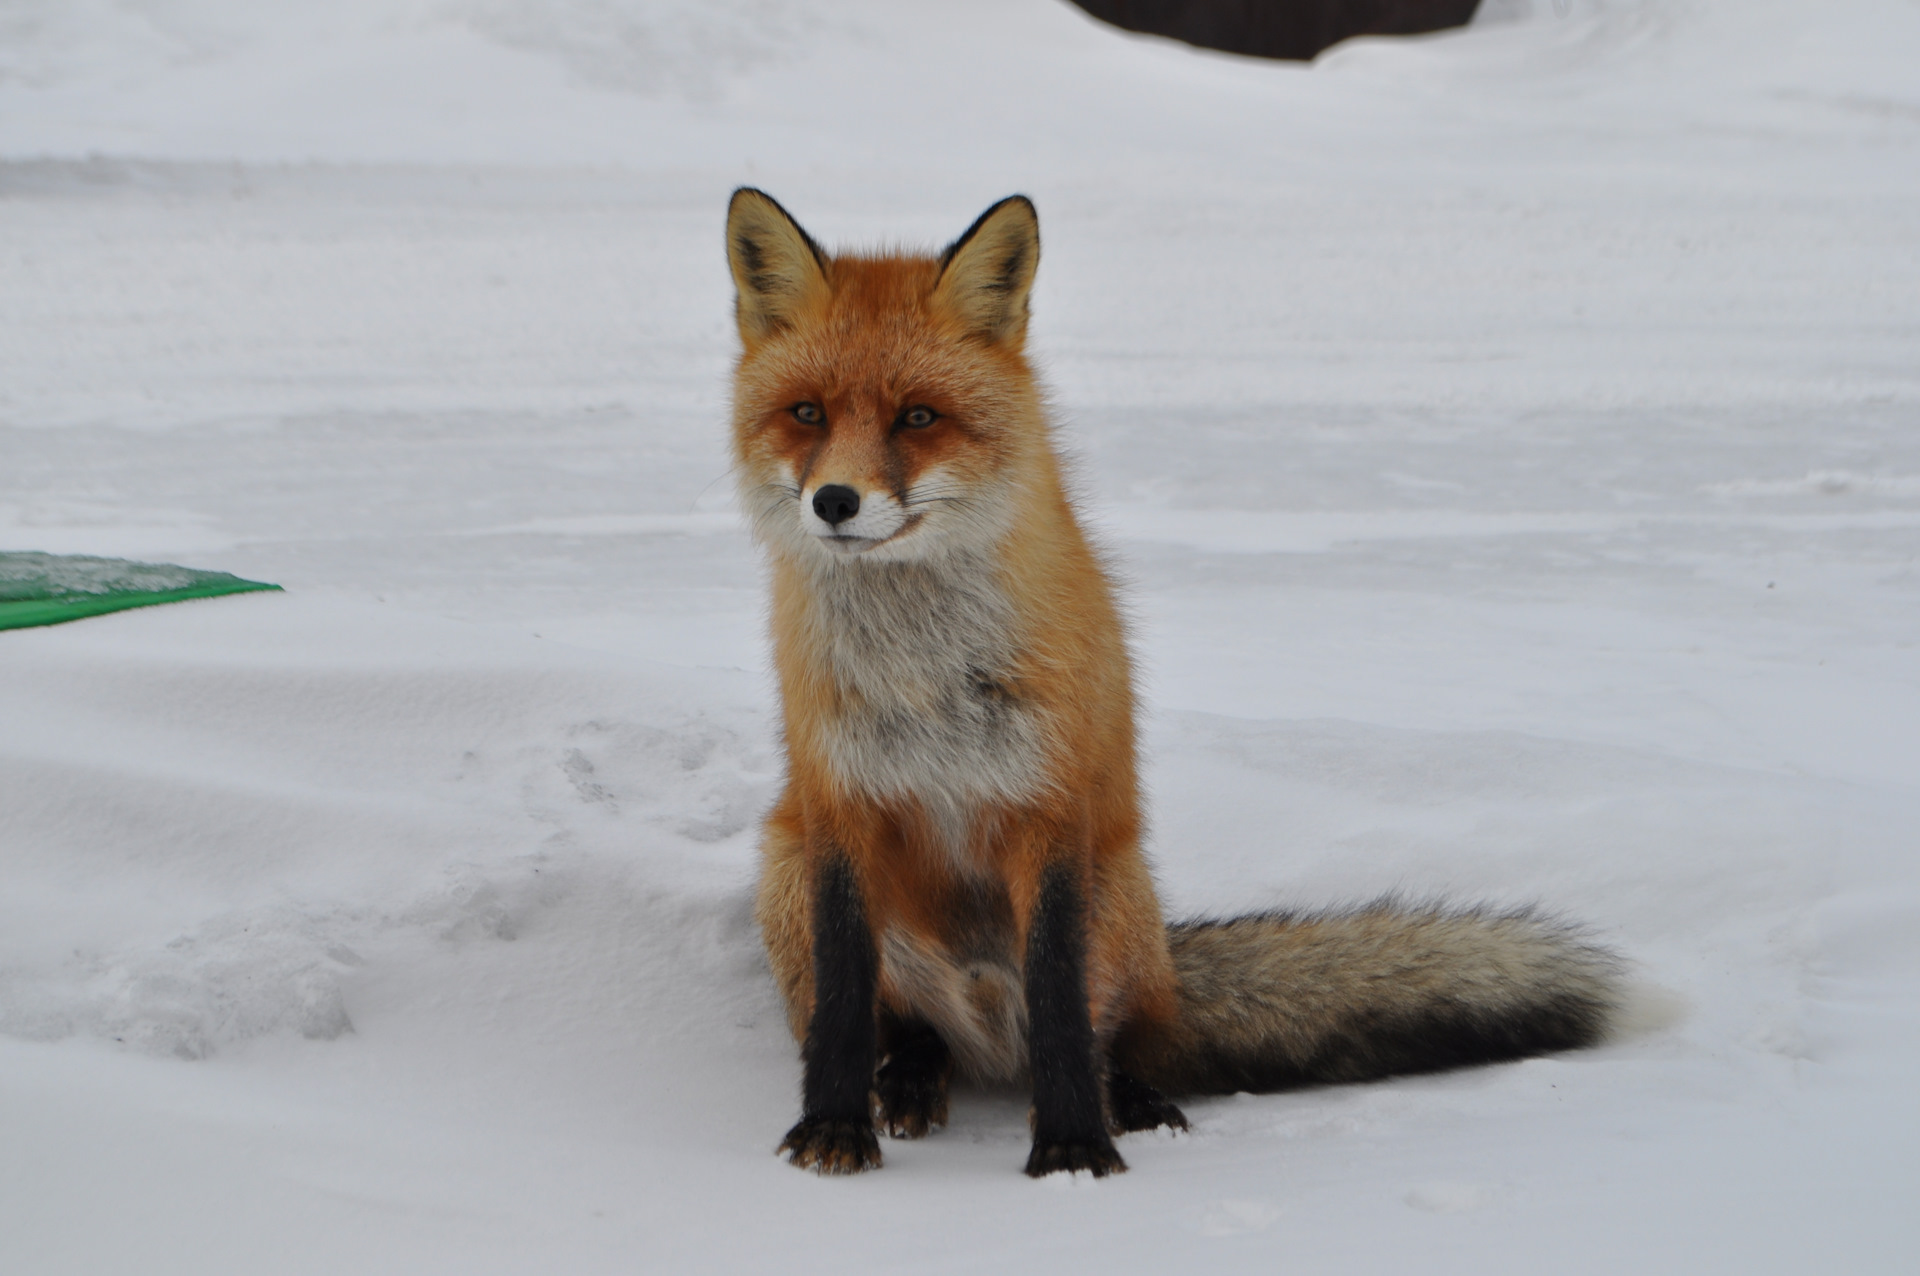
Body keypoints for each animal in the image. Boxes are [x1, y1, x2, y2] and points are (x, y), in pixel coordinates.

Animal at [725, 189, 1612, 1174]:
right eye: (806, 413)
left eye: (917, 418)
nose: (834, 502)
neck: (922, 674)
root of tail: (984, 1020)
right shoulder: (839, 808)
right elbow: (844, 1007)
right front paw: (833, 1128)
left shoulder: (1051, 808)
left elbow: (1063, 1011)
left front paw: (1074, 1151)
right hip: (785, 868)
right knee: (910, 1027)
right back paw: (911, 1078)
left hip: (1118, 900)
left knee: (1106, 1036)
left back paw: (1127, 1100)